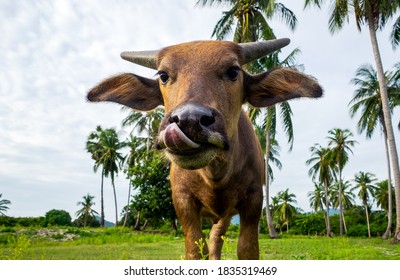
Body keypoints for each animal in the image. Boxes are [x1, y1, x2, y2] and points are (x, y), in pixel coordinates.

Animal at [87, 38, 322, 260]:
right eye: (163, 75)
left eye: (233, 71)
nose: (188, 120)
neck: (215, 174)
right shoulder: (182, 199)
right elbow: (194, 249)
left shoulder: (254, 198)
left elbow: (247, 249)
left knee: (216, 239)